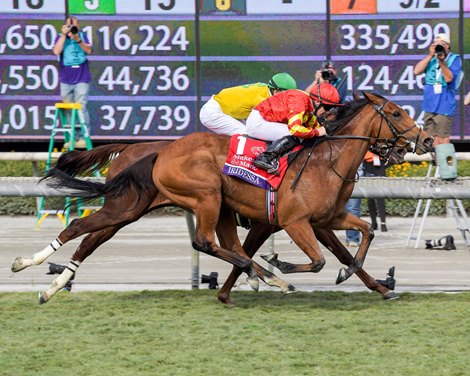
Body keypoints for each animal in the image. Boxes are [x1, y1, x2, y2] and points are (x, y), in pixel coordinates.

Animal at [11, 92, 432, 304]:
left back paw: (48, 284)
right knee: (200, 240)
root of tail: (155, 152)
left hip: (129, 207)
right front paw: (274, 268)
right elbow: (315, 261)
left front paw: (379, 286)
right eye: (396, 113)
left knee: (88, 235)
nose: (426, 140)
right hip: (203, 197)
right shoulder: (293, 221)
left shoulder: (324, 220)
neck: (325, 160)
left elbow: (359, 239)